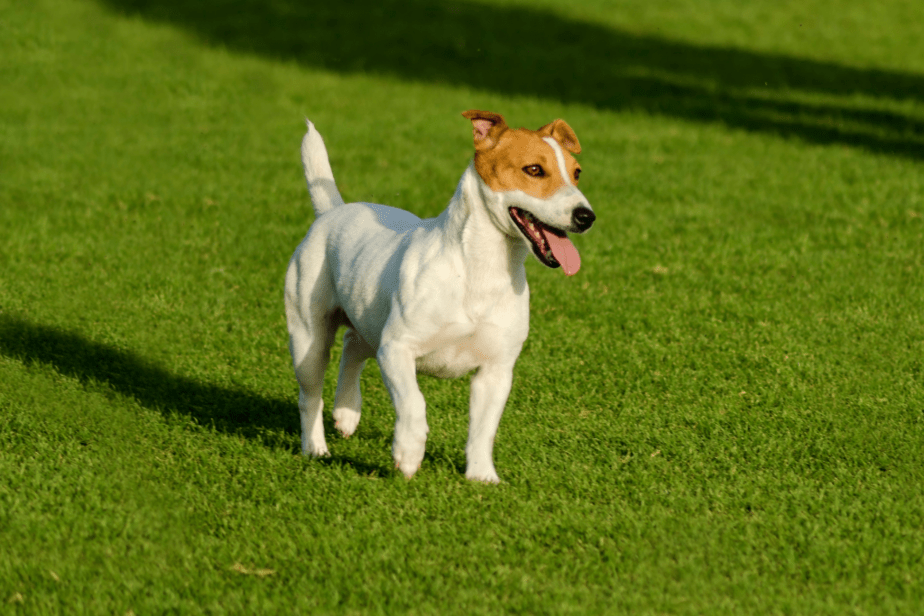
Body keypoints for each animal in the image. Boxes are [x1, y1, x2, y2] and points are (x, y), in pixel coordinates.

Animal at [286, 109, 596, 482]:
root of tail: (332, 211)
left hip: (369, 318)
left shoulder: (496, 371)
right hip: (309, 339)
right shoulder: (397, 349)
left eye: (577, 173)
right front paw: (407, 453)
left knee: (353, 345)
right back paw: (316, 448)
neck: (481, 269)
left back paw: (347, 412)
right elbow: (413, 403)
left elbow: (483, 429)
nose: (586, 216)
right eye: (534, 169)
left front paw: (482, 475)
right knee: (310, 395)